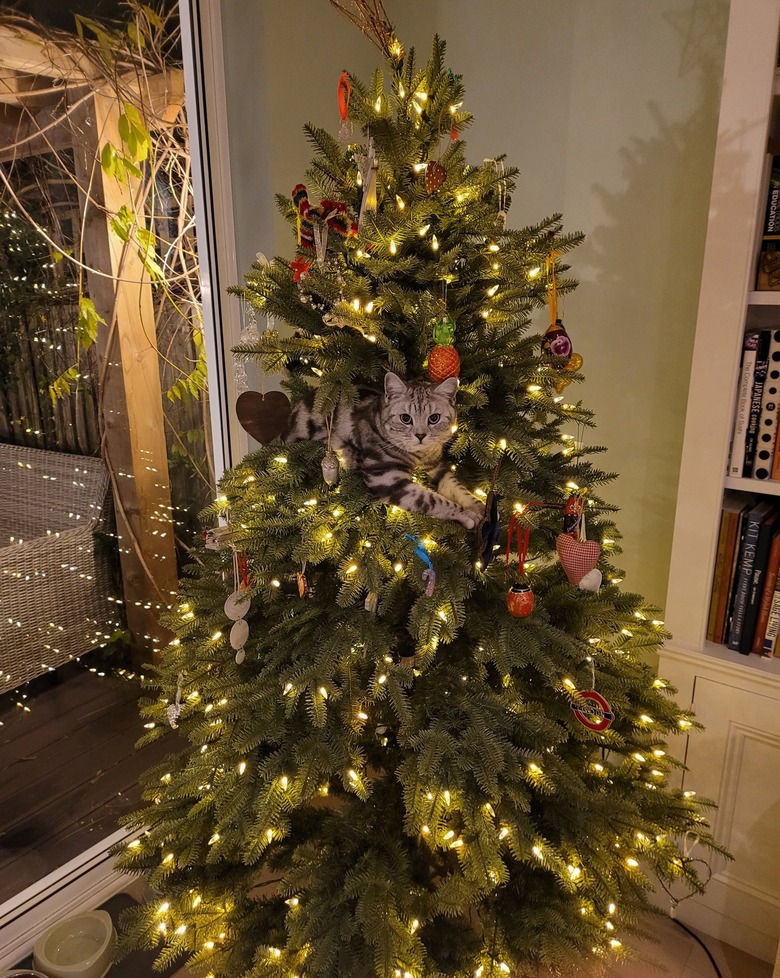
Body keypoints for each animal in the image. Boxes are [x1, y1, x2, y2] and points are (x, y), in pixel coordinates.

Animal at [284, 372, 484, 528]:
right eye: (405, 418)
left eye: (434, 418)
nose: (420, 435)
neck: (419, 456)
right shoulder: (387, 476)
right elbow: (435, 501)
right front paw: (467, 515)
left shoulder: (437, 468)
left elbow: (460, 489)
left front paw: (480, 508)